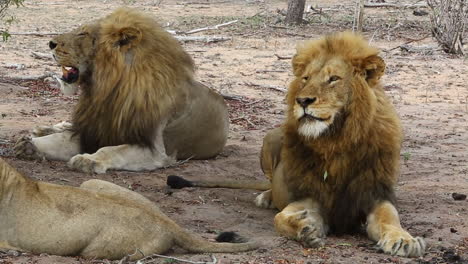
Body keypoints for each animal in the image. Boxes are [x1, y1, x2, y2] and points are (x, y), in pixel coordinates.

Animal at [13, 7, 229, 173]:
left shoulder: (156, 150)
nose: (50, 43)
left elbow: (113, 150)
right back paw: (42, 129)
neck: (107, 91)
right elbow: (60, 139)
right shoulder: (93, 131)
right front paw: (29, 145)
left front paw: (88, 159)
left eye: (83, 34)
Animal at [169, 32, 428, 256]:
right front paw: (305, 228)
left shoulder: (374, 192)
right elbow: (281, 218)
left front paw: (403, 240)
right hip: (270, 139)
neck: (336, 141)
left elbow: (389, 219)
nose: (303, 100)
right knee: (271, 183)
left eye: (333, 79)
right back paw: (266, 197)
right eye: (306, 78)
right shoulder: (308, 195)